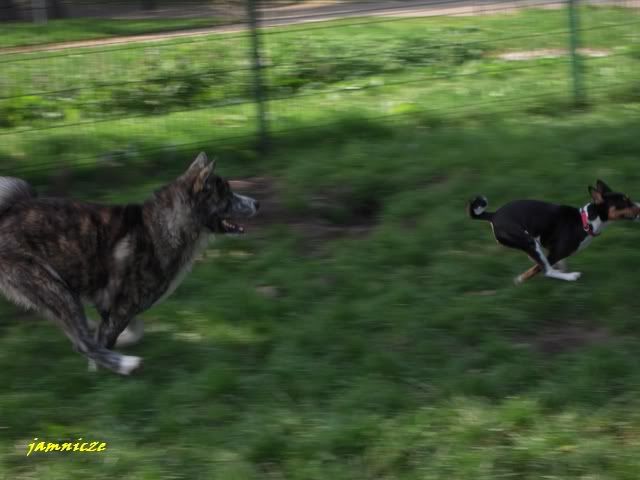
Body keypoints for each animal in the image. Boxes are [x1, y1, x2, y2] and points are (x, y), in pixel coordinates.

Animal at [0, 152, 259, 375]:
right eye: (228, 195)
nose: (256, 203)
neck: (165, 226)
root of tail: (5, 216)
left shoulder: (115, 306)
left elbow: (133, 329)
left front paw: (114, 344)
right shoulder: (123, 307)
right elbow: (104, 340)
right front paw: (99, 371)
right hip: (56, 289)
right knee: (83, 344)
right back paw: (127, 365)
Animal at [468, 180, 640, 284]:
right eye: (625, 202)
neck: (586, 222)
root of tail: (493, 215)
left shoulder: (552, 251)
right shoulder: (555, 253)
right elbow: (538, 270)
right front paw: (520, 280)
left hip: (532, 244)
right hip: (530, 243)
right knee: (547, 271)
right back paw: (570, 277)